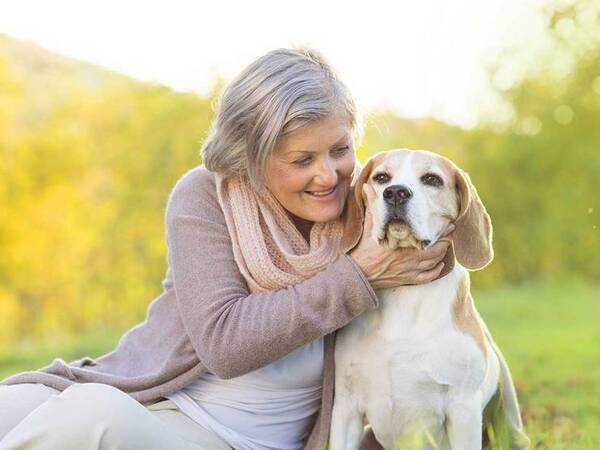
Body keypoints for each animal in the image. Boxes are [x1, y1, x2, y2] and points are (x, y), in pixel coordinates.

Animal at [328, 150, 528, 450]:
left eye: (432, 179)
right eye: (381, 177)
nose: (395, 193)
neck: (404, 292)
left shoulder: (463, 410)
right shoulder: (346, 408)